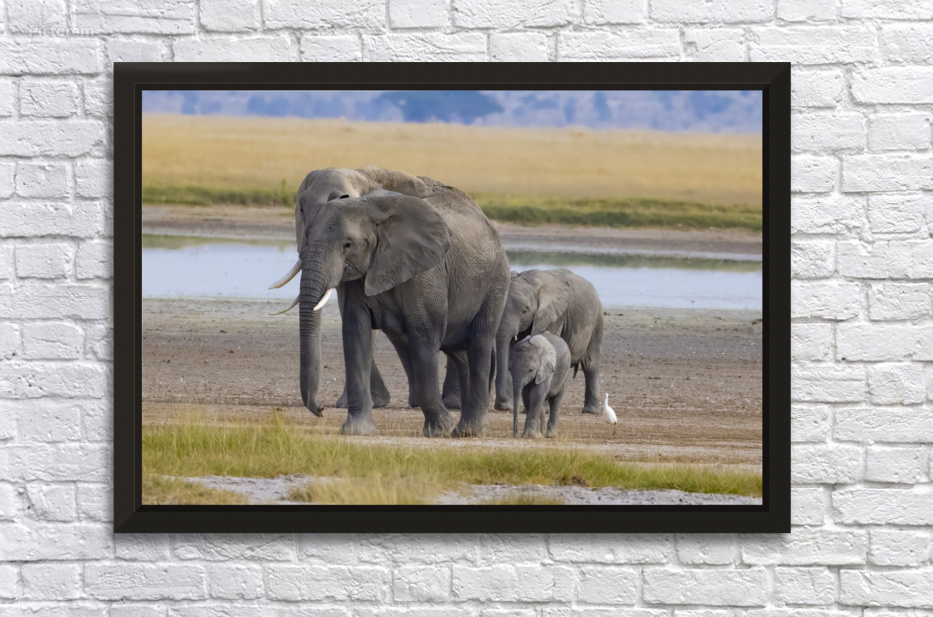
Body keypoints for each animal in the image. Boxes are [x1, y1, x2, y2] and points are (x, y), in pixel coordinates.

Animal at [269, 166, 466, 410]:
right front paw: (368, 402)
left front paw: (356, 403)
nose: (320, 408)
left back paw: (452, 403)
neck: (361, 175)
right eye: (302, 209)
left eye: (346, 200)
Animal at [295, 179, 510, 437]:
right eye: (306, 236)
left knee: (478, 344)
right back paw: (463, 430)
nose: (321, 410)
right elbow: (355, 335)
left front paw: (440, 429)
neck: (368, 208)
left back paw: (470, 431)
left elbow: (423, 338)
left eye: (348, 245)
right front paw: (357, 431)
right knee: (460, 352)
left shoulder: (425, 273)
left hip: (495, 282)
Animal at [493, 268, 603, 415]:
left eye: (524, 311)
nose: (502, 404)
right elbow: (512, 352)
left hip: (596, 321)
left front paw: (541, 409)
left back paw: (590, 410)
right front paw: (509, 407)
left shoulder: (554, 317)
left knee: (590, 363)